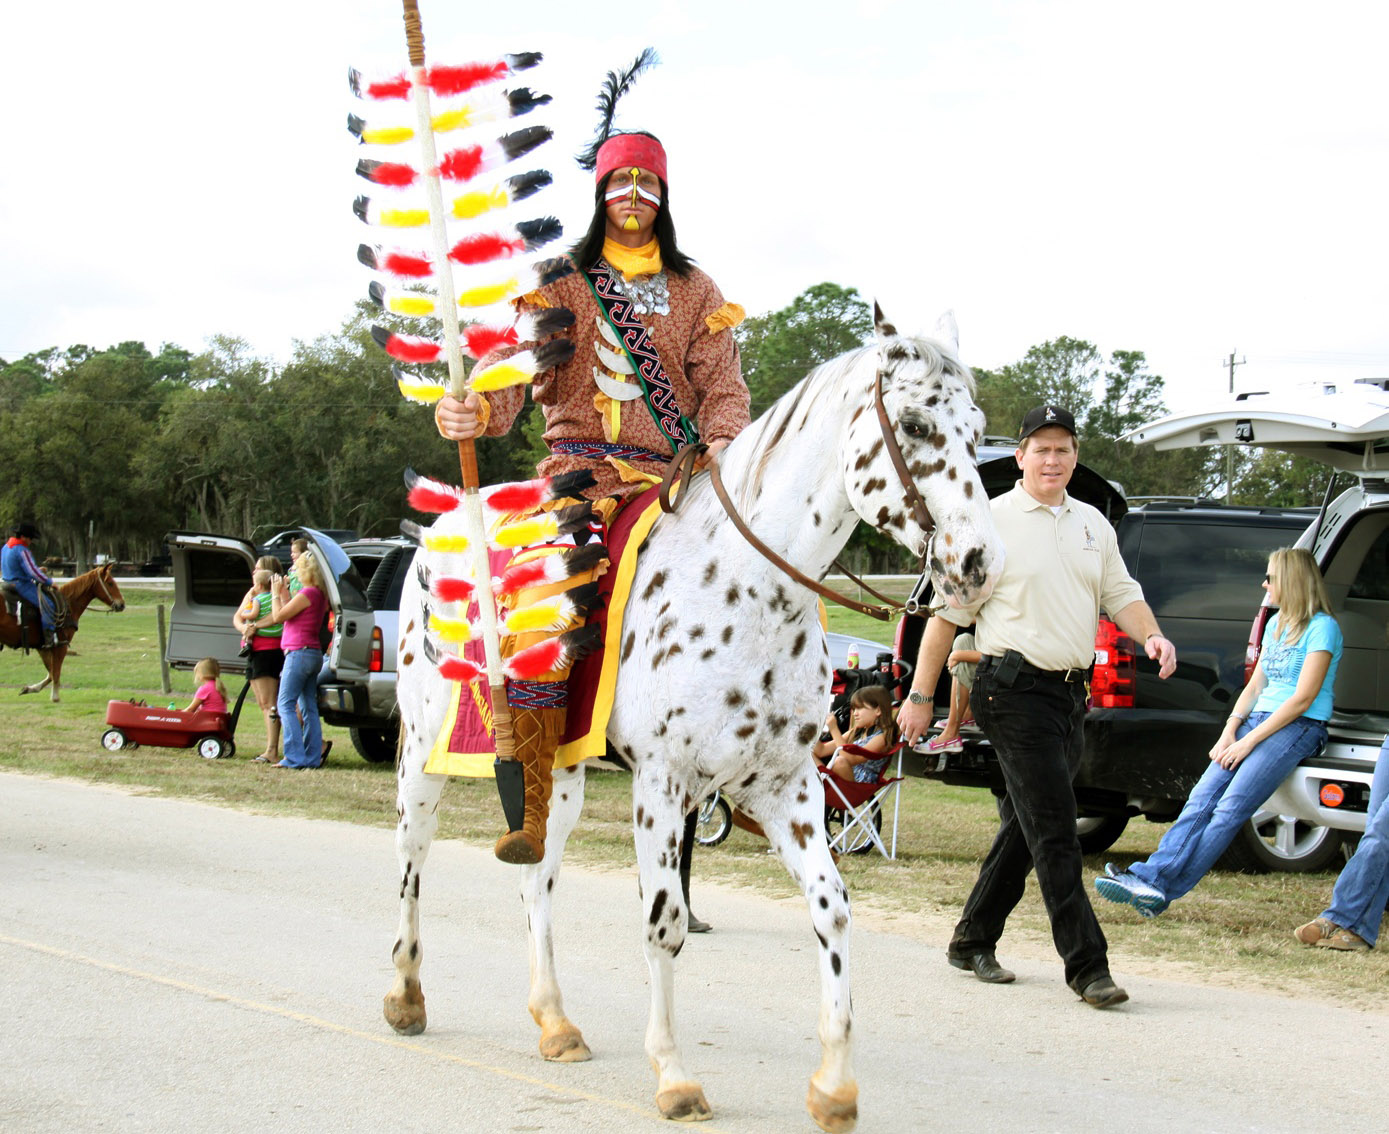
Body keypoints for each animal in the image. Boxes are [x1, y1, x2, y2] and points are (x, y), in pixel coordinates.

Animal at [0, 561, 127, 700]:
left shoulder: (43, 647)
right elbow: (55, 673)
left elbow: (51, 673)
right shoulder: (61, 646)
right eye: (110, 583)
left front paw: (29, 688)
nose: (122, 604)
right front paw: (55, 696)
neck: (68, 605)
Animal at [386, 305, 1005, 1128]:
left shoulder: (788, 788)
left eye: (976, 430)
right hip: (424, 749)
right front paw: (674, 1076)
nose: (979, 563)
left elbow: (833, 910)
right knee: (412, 857)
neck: (746, 589)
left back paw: (555, 1022)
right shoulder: (663, 783)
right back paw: (404, 995)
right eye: (913, 423)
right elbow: (665, 922)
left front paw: (835, 1087)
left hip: (565, 771)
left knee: (536, 876)